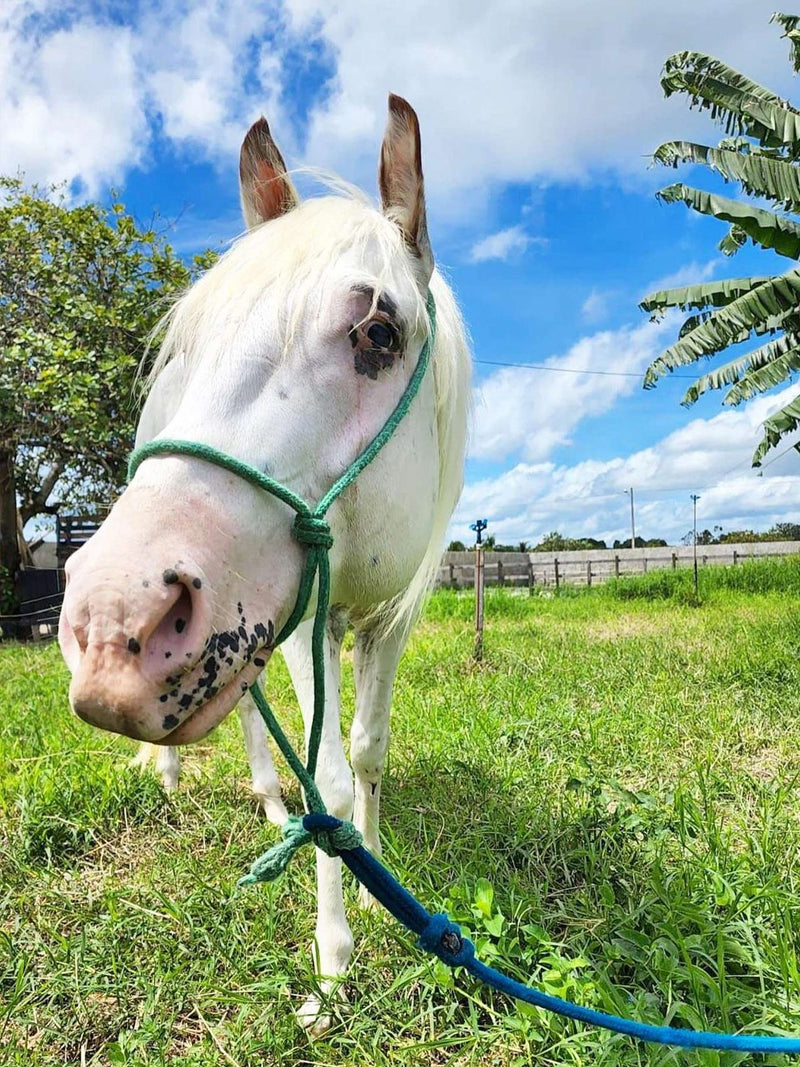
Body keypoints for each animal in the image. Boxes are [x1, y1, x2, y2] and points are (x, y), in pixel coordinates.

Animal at [58, 94, 471, 1032]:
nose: (109, 625)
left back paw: (265, 797)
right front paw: (335, 956)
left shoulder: (384, 620)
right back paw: (187, 781)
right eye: (190, 346)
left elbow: (367, 754)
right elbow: (331, 783)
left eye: (379, 332)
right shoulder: (305, 622)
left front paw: (380, 865)